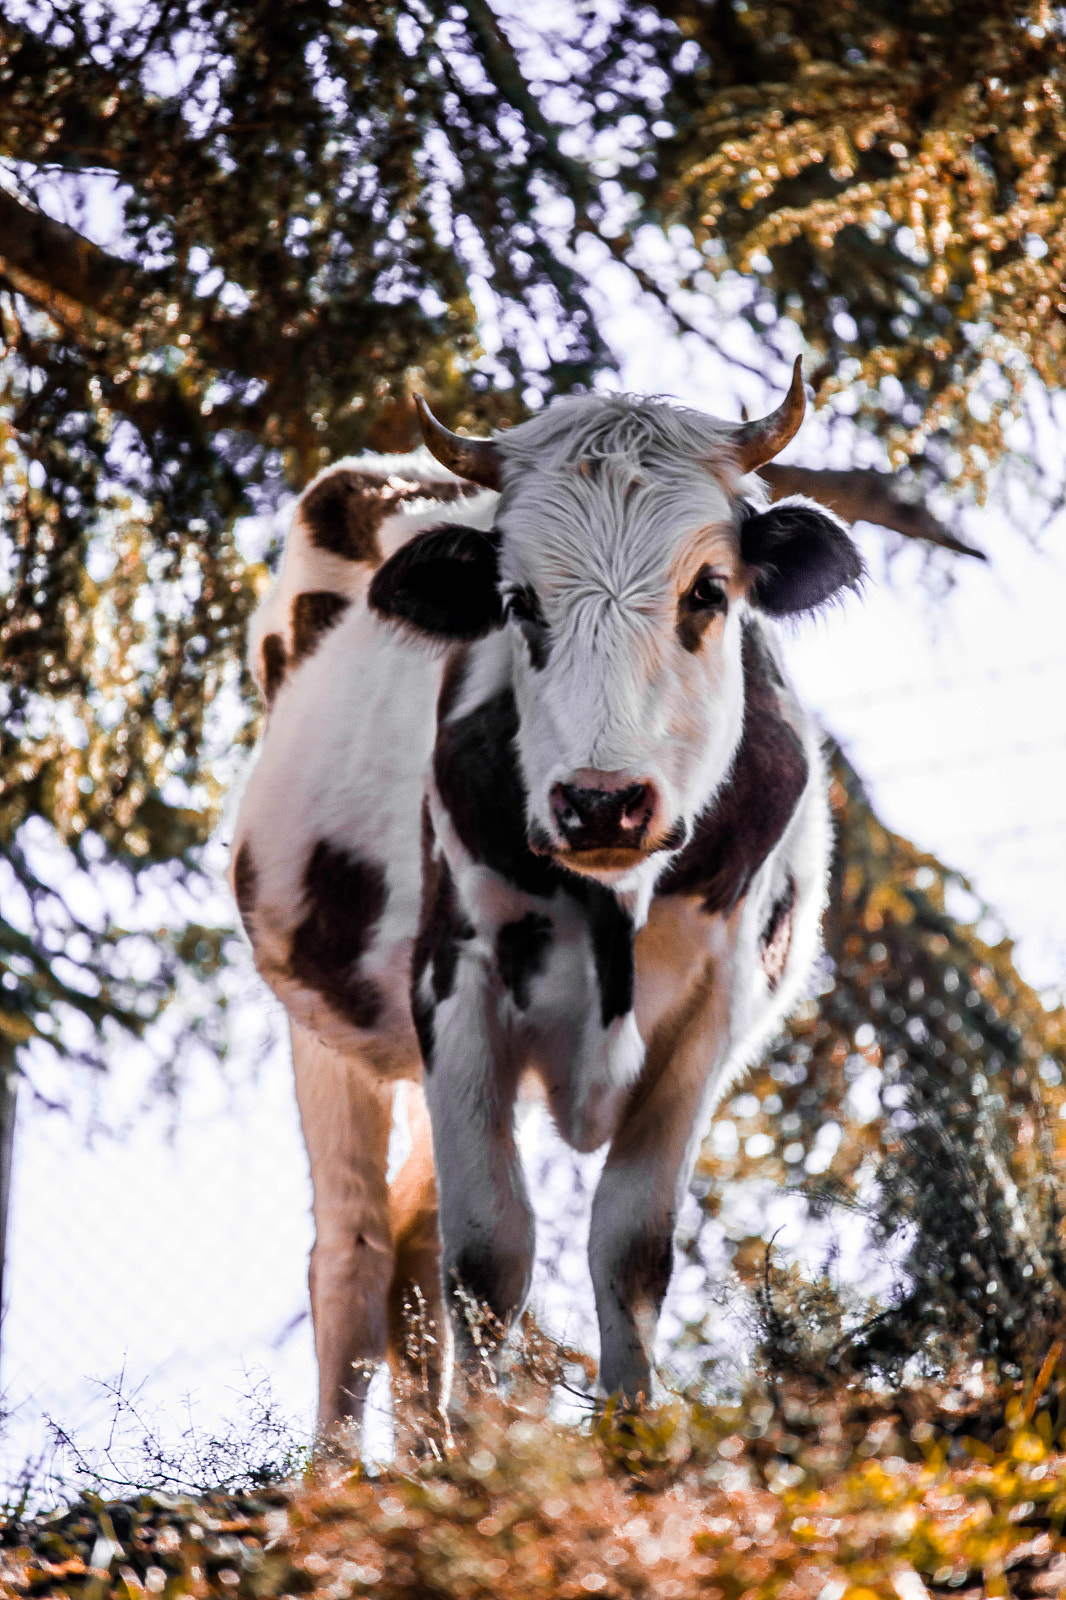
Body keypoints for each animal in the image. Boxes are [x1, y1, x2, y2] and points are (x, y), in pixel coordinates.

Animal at [229, 360, 863, 1433]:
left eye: (709, 590)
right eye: (518, 599)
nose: (601, 800)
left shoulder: (710, 1018)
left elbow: (630, 1245)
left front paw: (630, 1432)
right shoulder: (455, 989)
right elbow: (489, 1254)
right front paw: (491, 1451)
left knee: (407, 1252)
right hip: (331, 1031)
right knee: (354, 1254)